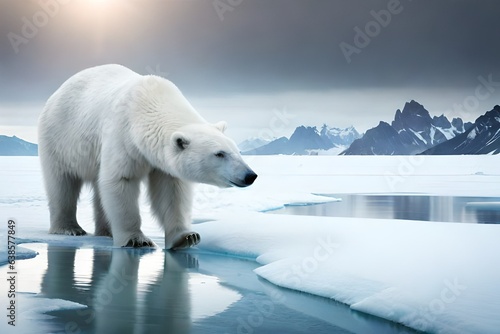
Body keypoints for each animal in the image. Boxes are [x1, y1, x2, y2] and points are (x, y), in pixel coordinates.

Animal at [38, 64, 258, 249]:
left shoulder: (161, 162)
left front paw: (186, 237)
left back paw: (106, 231)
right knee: (62, 183)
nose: (250, 175)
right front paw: (136, 240)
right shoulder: (123, 138)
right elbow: (121, 180)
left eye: (237, 151)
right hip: (60, 139)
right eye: (219, 154)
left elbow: (172, 192)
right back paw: (69, 228)